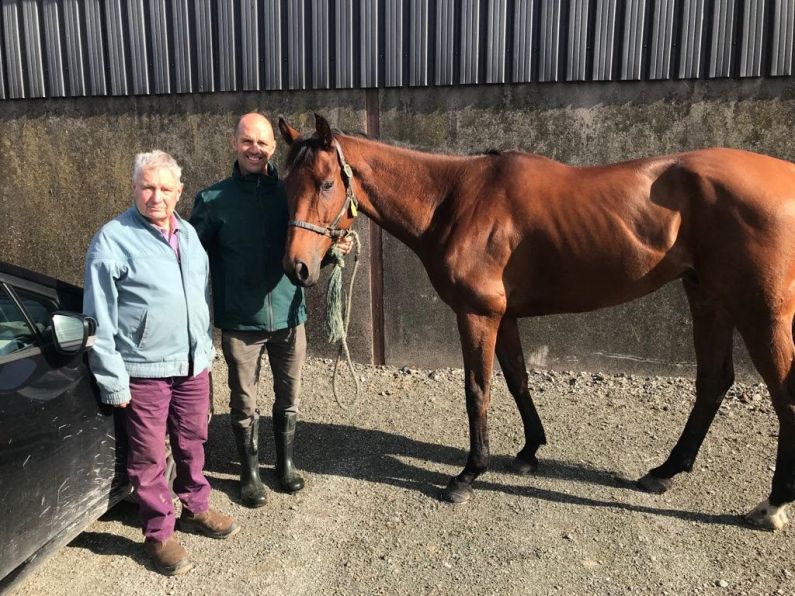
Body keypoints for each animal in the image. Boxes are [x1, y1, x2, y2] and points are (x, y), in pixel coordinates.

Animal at [276, 113, 795, 532]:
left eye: (325, 183)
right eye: (286, 183)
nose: (297, 268)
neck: (453, 200)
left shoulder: (477, 314)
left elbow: (478, 388)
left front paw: (469, 474)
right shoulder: (503, 315)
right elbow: (517, 379)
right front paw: (529, 452)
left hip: (761, 310)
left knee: (782, 397)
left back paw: (771, 506)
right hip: (707, 297)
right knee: (713, 381)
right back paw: (664, 472)